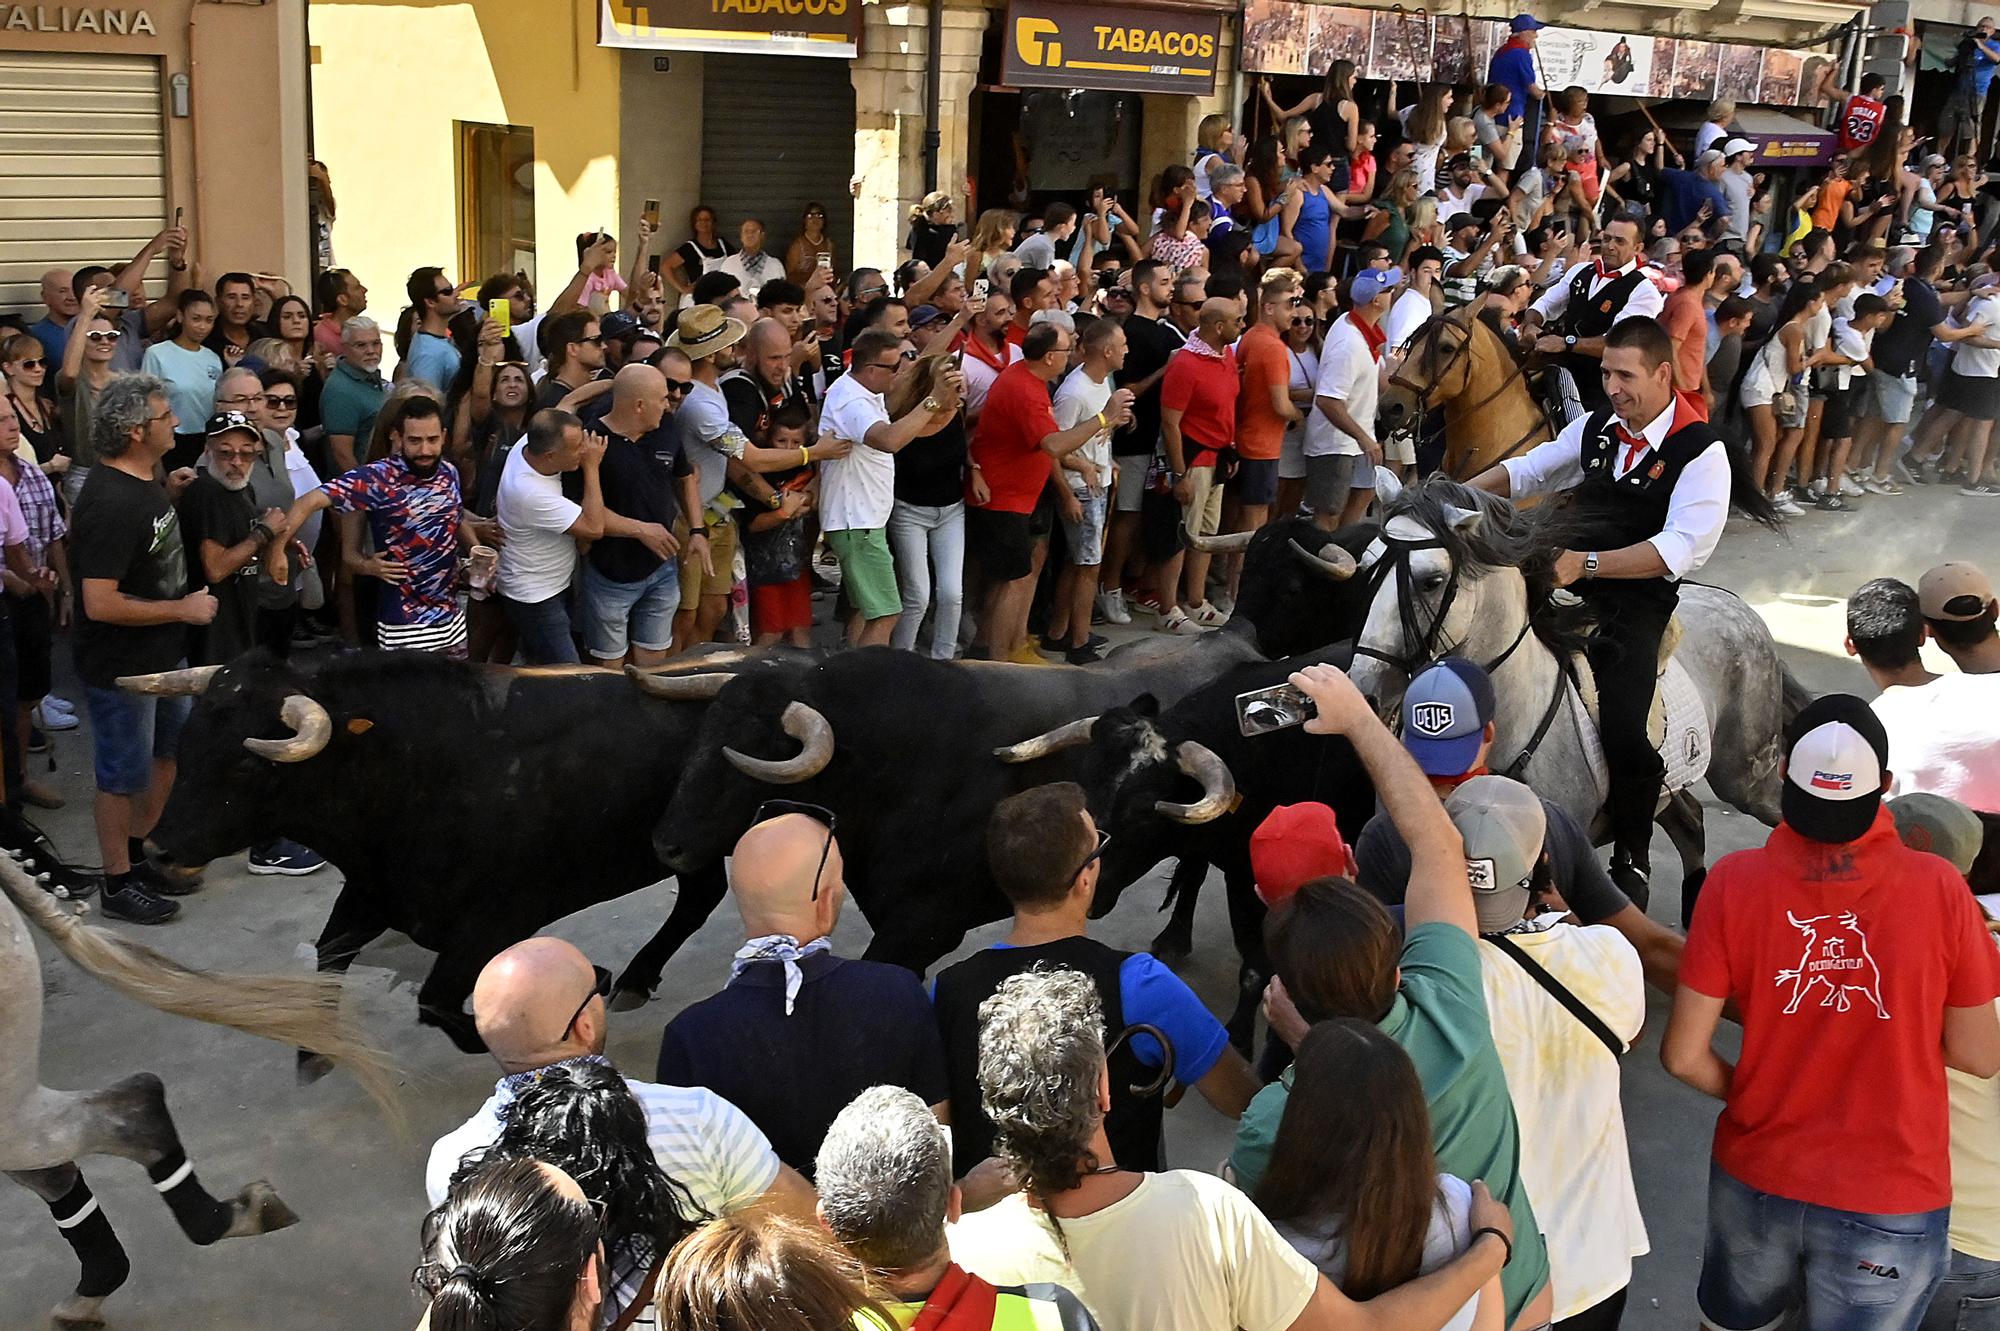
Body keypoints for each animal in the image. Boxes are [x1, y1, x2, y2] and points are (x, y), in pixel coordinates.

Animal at [141, 647, 772, 1055]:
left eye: (248, 765)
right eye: (186, 743)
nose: (156, 850)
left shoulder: (496, 919)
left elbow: (439, 1002)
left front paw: (590, 981)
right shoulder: (373, 894)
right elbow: (328, 958)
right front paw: (317, 1054)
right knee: (699, 894)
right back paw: (638, 979)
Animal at [1336, 479, 1808, 911]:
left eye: (1431, 581)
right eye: (1367, 567)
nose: (1363, 691)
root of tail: (1741, 608)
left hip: (1745, 777)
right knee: (1690, 820)